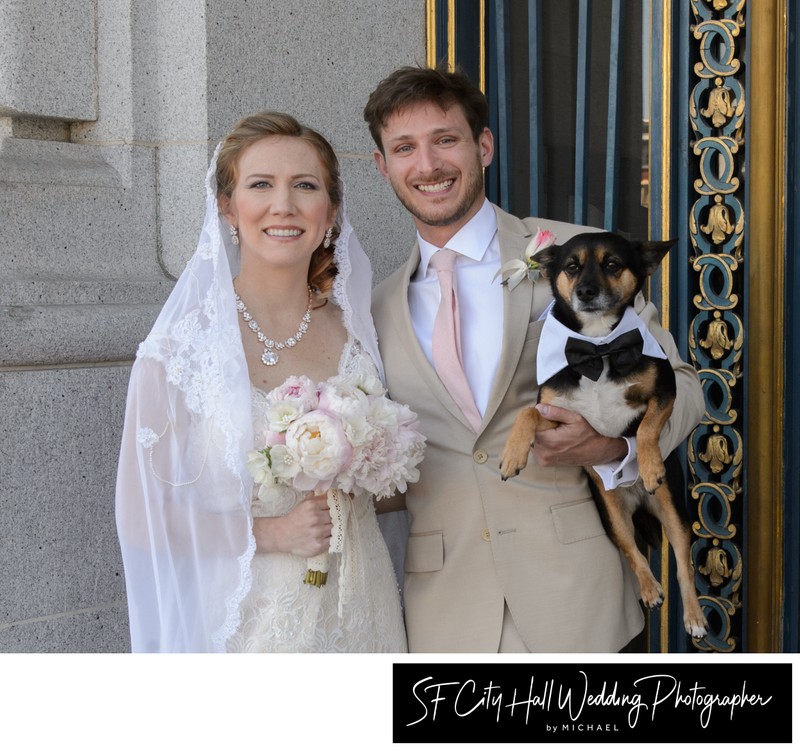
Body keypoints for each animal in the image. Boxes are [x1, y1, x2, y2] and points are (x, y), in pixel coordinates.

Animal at [500, 232, 708, 636]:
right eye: (571, 267)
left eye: (612, 264)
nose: (585, 291)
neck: (597, 347)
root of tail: (637, 501)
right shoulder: (557, 413)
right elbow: (527, 412)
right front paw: (513, 453)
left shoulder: (666, 391)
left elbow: (647, 428)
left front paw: (650, 465)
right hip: (612, 517)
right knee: (630, 550)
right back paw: (649, 588)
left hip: (674, 513)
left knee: (683, 566)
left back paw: (693, 617)